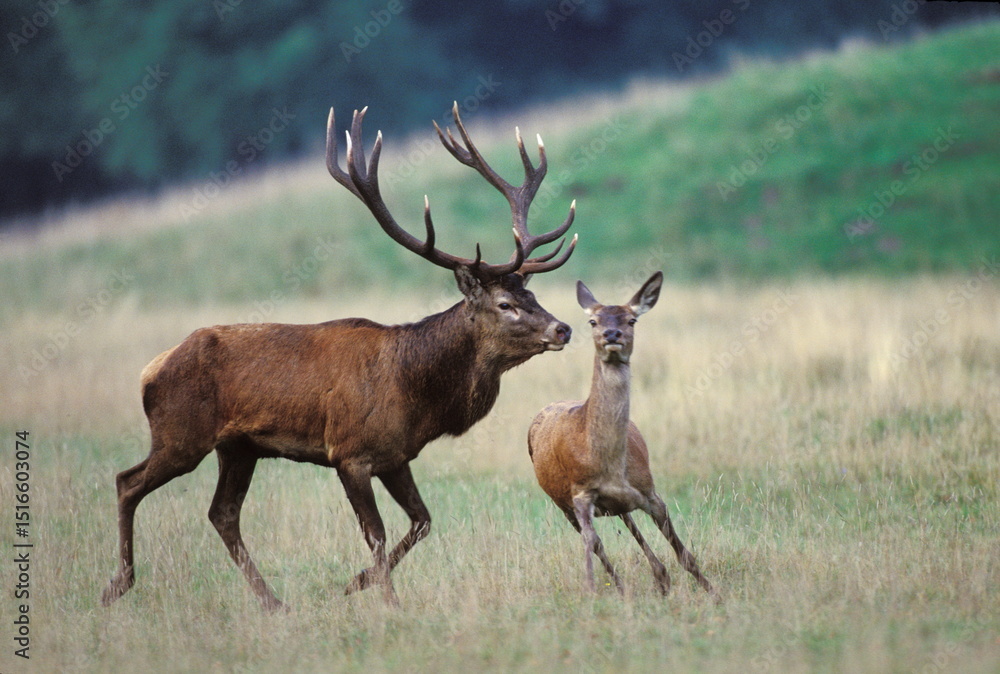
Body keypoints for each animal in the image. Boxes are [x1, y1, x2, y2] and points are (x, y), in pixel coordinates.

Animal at [101, 103, 579, 611]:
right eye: (505, 304)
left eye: (531, 294)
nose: (562, 328)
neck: (416, 393)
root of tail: (151, 369)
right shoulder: (350, 452)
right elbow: (377, 533)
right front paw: (389, 602)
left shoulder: (395, 455)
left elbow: (422, 521)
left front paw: (355, 583)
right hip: (181, 433)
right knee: (127, 481)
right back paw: (118, 585)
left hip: (238, 447)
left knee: (222, 513)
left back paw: (273, 602)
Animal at [528, 272, 716, 599]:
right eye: (593, 321)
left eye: (632, 320)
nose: (611, 334)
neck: (610, 465)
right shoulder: (579, 493)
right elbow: (592, 544)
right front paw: (592, 591)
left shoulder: (650, 492)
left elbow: (683, 552)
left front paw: (712, 592)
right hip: (561, 503)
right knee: (600, 540)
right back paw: (625, 585)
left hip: (617, 503)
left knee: (630, 524)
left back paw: (660, 577)